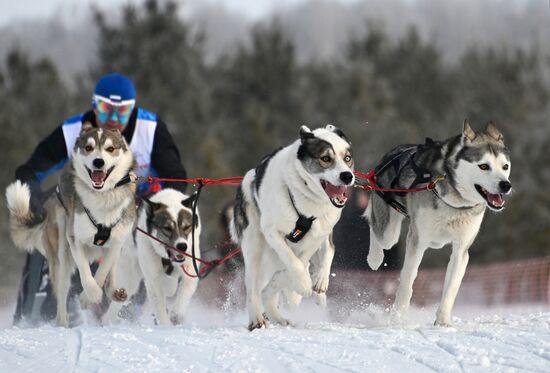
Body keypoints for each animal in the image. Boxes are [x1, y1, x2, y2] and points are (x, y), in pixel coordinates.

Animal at [6, 123, 137, 326]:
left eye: (110, 149)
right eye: (89, 147)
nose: (98, 162)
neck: (102, 197)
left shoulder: (117, 241)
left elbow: (103, 269)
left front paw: (94, 293)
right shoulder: (75, 238)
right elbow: (85, 272)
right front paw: (90, 295)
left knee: (112, 272)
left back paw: (114, 291)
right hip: (60, 252)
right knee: (61, 292)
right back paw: (63, 323)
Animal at [116, 187, 201, 324]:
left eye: (187, 227)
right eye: (167, 228)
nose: (182, 246)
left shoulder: (190, 269)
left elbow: (185, 289)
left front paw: (177, 314)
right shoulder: (153, 280)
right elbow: (160, 308)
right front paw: (165, 324)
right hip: (129, 277)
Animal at [231, 124, 356, 328]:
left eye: (347, 158)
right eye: (325, 158)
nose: (347, 176)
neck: (306, 200)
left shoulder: (317, 234)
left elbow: (305, 260)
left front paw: (302, 287)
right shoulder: (272, 233)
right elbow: (293, 262)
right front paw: (302, 286)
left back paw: (280, 311)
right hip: (254, 244)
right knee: (253, 285)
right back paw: (257, 317)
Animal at [366, 120, 512, 324]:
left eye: (505, 167)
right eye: (484, 166)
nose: (505, 185)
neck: (456, 200)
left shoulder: (461, 249)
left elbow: (451, 288)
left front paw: (443, 321)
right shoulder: (417, 241)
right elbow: (407, 280)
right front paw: (398, 318)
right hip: (388, 230)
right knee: (376, 228)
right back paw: (374, 258)